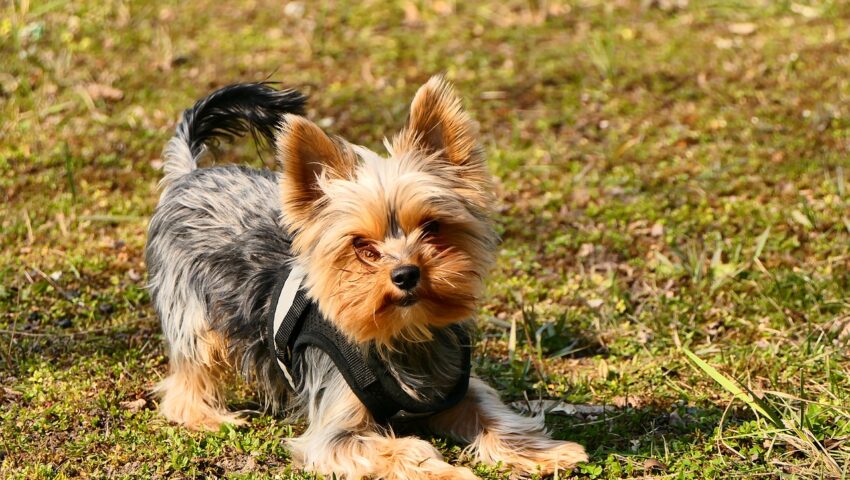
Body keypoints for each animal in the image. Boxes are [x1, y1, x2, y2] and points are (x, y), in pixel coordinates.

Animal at [146, 77, 584, 478]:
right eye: (362, 246)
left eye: (432, 228)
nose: (406, 274)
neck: (402, 335)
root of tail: (188, 175)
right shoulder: (335, 433)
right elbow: (404, 451)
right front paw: (450, 472)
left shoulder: (455, 387)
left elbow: (498, 416)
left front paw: (548, 452)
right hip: (192, 312)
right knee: (188, 373)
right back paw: (209, 417)